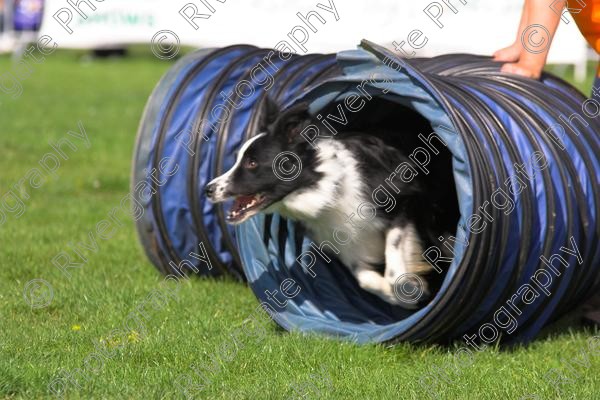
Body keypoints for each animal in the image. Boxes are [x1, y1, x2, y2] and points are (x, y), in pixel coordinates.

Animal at [207, 98, 446, 308]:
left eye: (252, 163)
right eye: (238, 159)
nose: (208, 189)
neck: (326, 187)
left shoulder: (404, 202)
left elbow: (394, 268)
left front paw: (413, 288)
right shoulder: (348, 245)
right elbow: (365, 280)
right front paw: (401, 295)